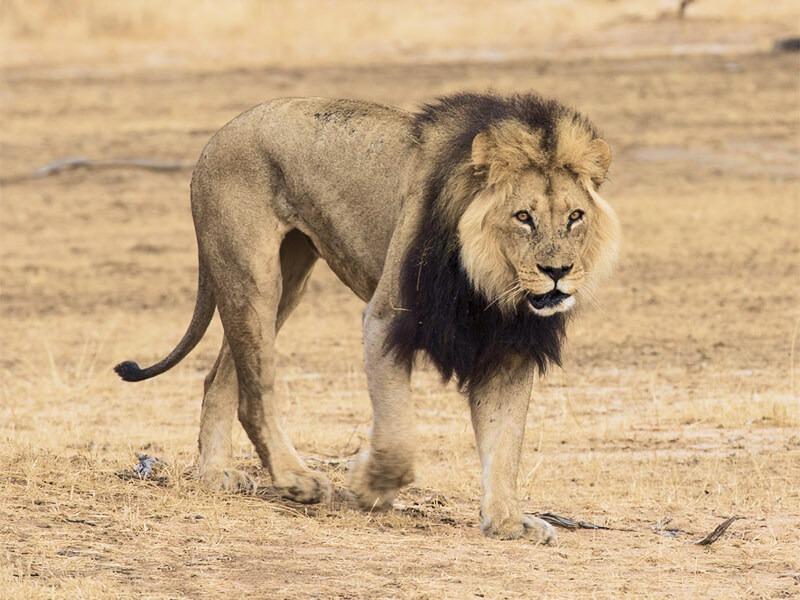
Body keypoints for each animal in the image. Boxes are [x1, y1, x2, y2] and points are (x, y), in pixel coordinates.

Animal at [115, 93, 620, 544]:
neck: (490, 285)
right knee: (255, 391)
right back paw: (296, 479)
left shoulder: (509, 347)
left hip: (289, 276)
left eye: (575, 216)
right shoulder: (384, 320)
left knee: (219, 377)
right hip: (253, 274)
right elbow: (398, 436)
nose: (557, 272)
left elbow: (505, 440)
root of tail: (219, 134)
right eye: (523, 217)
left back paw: (214, 473)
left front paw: (509, 521)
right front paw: (368, 486)